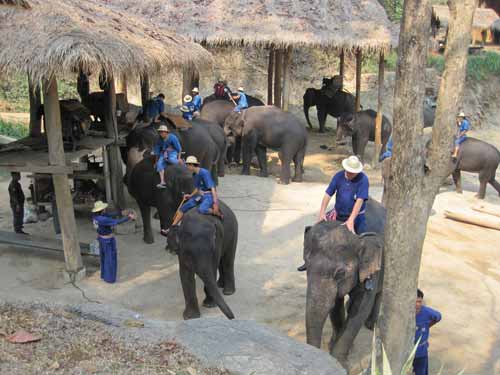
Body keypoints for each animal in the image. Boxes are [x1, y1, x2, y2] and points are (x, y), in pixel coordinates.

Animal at [302, 200, 384, 368]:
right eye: (306, 264)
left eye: (340, 273)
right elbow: (335, 305)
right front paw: (332, 346)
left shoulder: (371, 269)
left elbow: (360, 308)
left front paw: (339, 361)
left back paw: (371, 325)